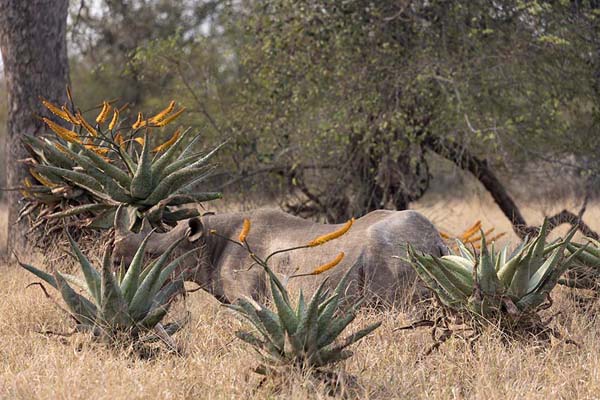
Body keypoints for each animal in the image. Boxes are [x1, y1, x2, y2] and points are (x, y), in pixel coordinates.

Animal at [112, 208, 446, 304]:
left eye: (152, 254)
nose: (114, 261)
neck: (206, 242)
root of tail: (437, 243)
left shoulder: (247, 296)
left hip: (393, 255)